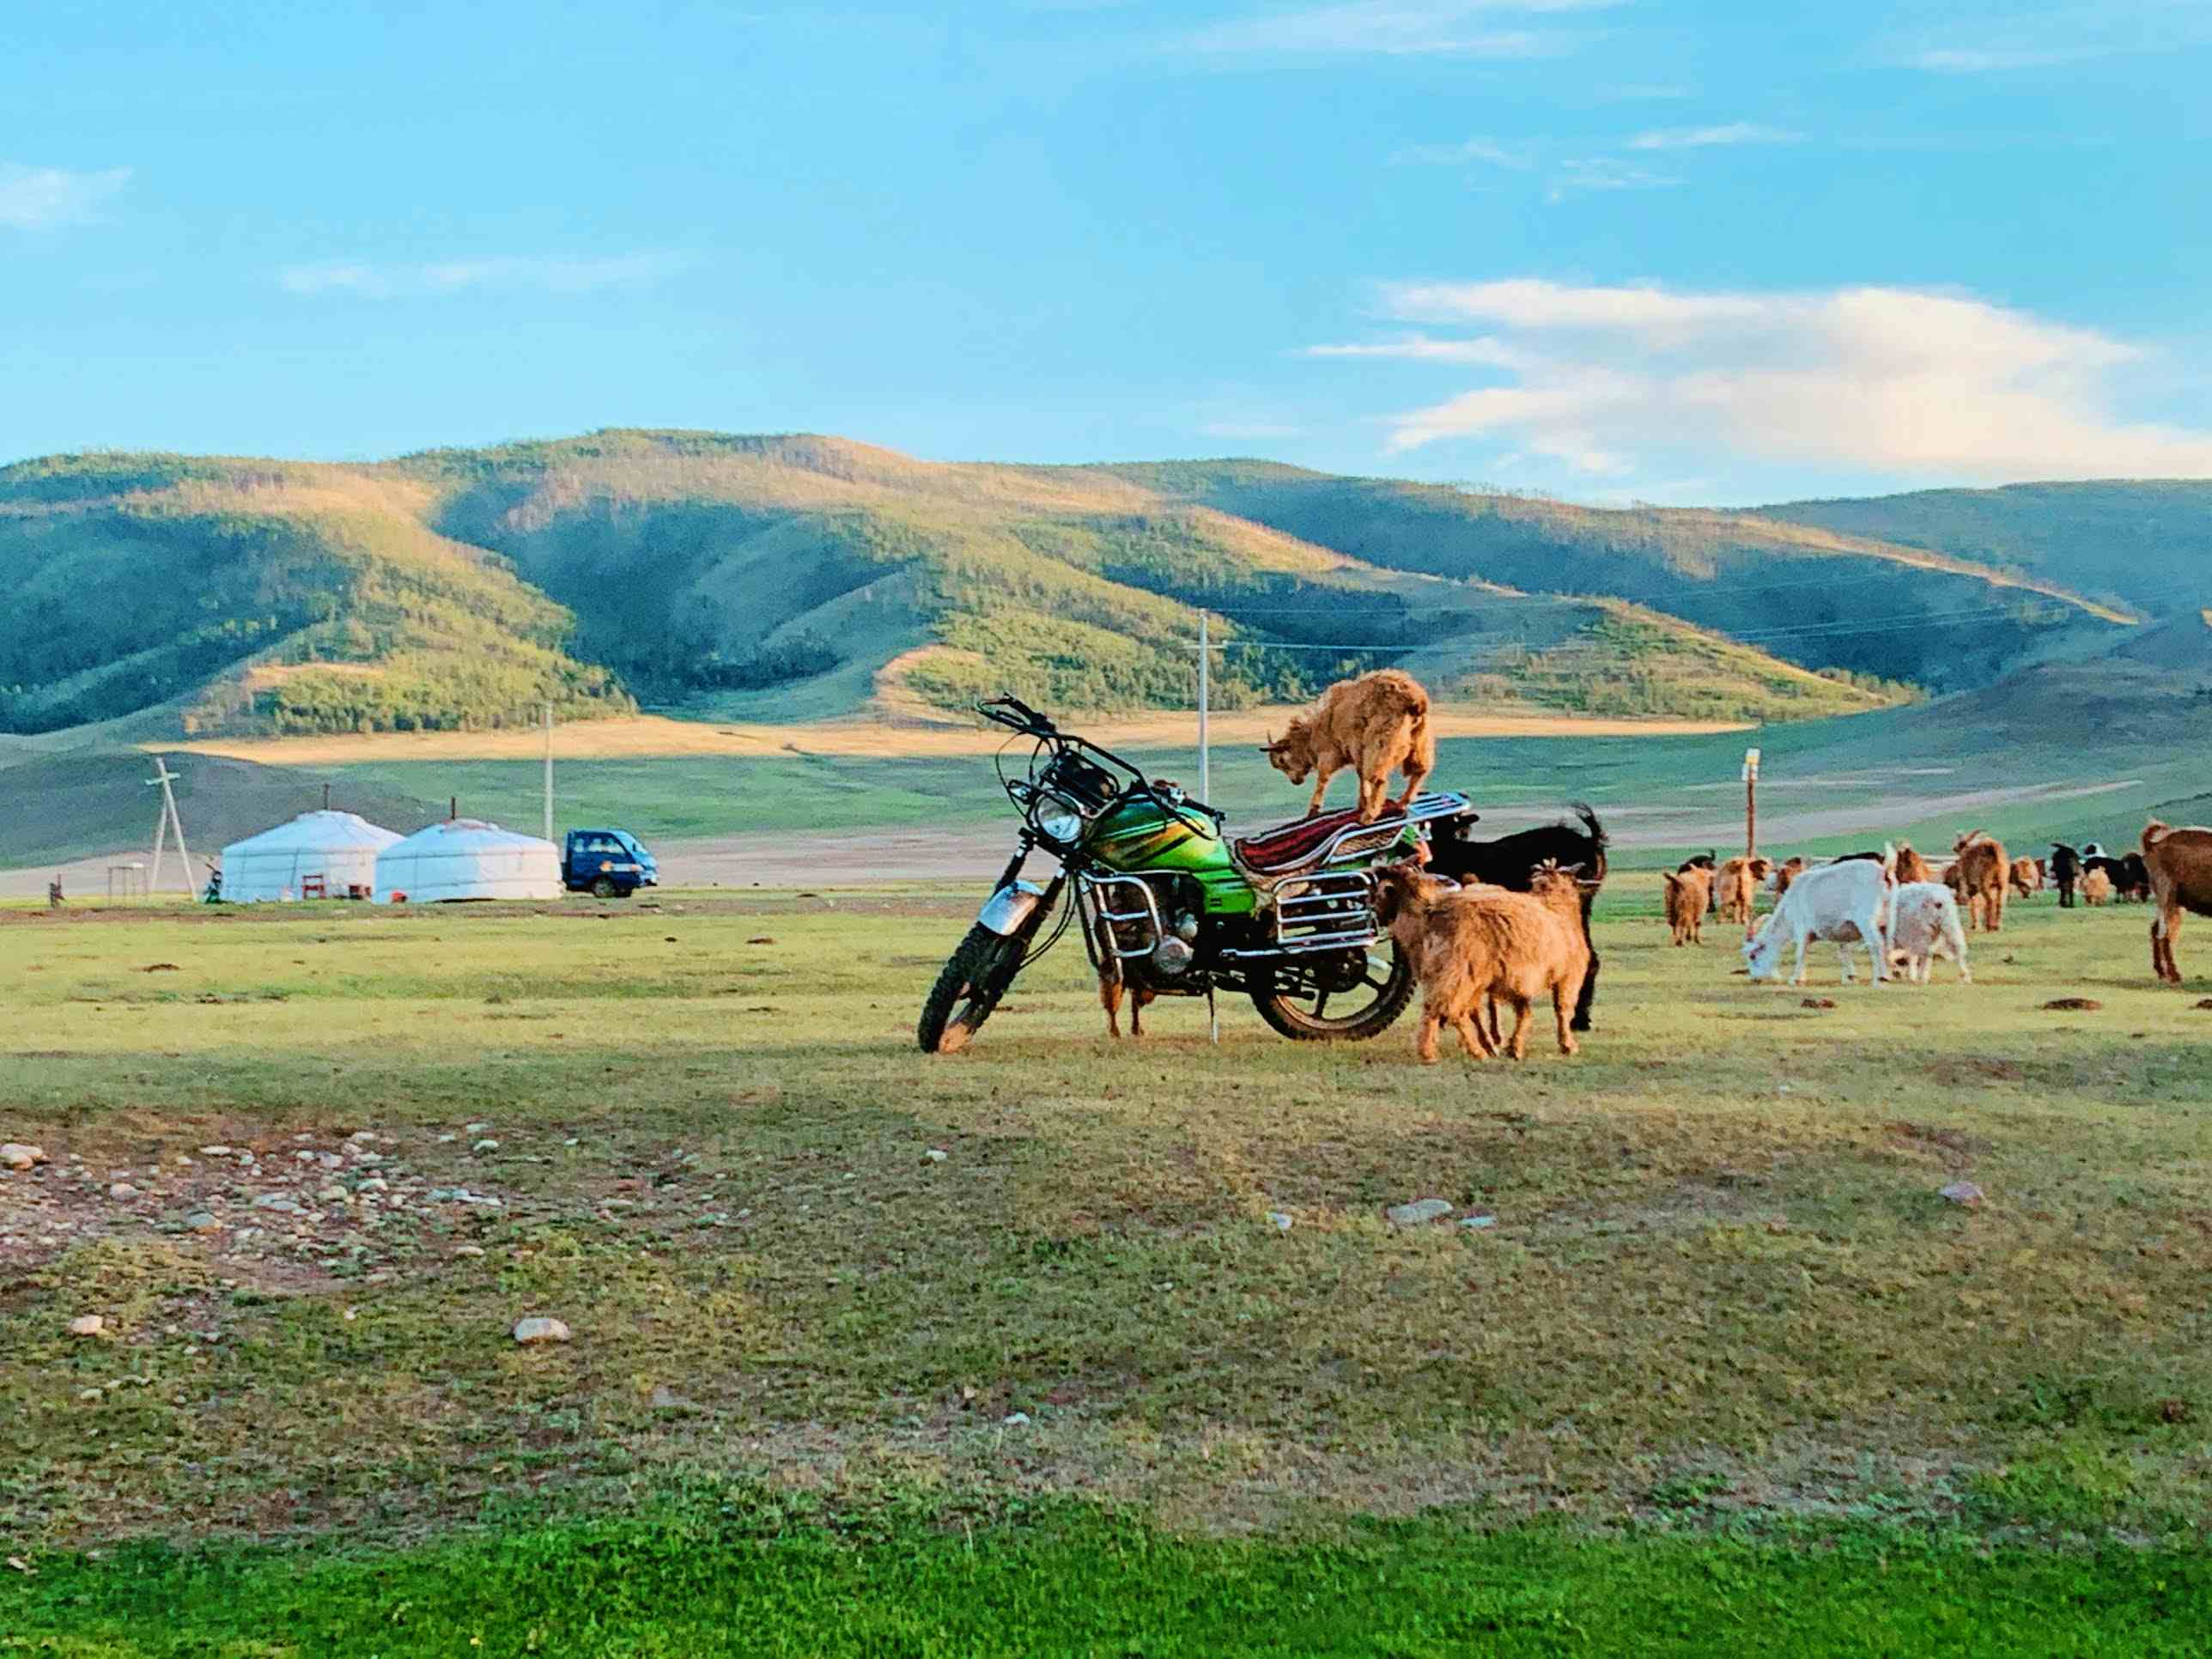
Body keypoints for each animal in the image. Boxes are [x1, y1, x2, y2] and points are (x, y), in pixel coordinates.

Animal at [1265, 667, 1433, 827]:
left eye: (1281, 761)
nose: (1296, 782)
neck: (1312, 734)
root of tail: (1415, 700)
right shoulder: (1356, 752)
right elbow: (1360, 775)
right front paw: (1361, 803)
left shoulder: (1332, 753)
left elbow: (1323, 779)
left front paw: (1314, 810)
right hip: (1420, 739)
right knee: (1420, 770)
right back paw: (1402, 803)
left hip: (1381, 741)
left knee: (1379, 779)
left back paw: (1368, 816)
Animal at [1362, 858, 1592, 1066]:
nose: (1376, 915)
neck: (1556, 906)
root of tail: (1434, 909)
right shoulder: (1569, 975)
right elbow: (1562, 1009)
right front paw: (1568, 1045)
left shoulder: (1520, 979)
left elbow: (1524, 1013)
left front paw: (1515, 1047)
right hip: (1462, 971)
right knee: (1451, 1009)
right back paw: (1471, 1051)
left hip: (1444, 972)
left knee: (1434, 1007)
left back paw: (1441, 1049)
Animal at [1734, 858, 1893, 986]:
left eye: (1753, 956)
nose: (1755, 979)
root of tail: (1883, 873)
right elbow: (1838, 952)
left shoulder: (1802, 928)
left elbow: (1799, 953)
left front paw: (1794, 979)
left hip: (1866, 920)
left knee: (1876, 945)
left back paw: (1880, 978)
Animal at [2141, 823, 2212, 986]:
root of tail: (2154, 844)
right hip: (2168, 896)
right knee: (2165, 934)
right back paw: (2175, 975)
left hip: (2175, 903)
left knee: (2158, 931)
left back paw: (2162, 973)